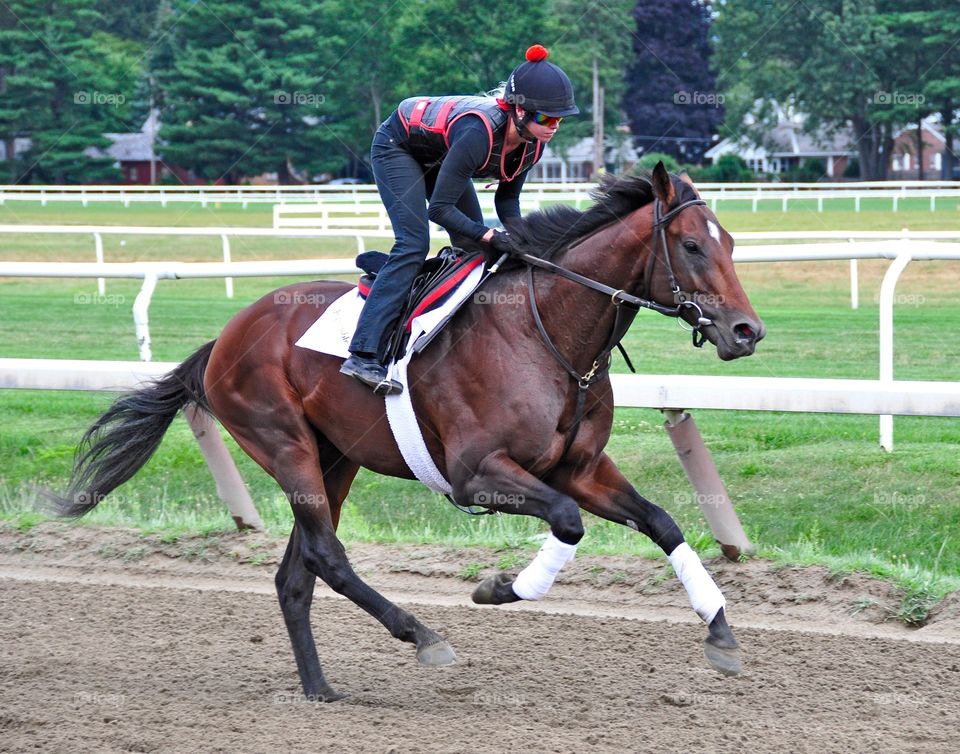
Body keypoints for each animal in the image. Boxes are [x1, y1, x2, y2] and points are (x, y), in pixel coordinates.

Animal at [46, 162, 765, 702]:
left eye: (731, 243)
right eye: (693, 245)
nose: (747, 331)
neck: (547, 334)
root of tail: (224, 337)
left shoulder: (581, 468)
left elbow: (663, 522)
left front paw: (721, 633)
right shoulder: (477, 474)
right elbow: (566, 521)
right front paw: (499, 588)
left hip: (334, 460)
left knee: (298, 571)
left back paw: (320, 688)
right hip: (285, 444)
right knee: (327, 556)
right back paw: (421, 636)